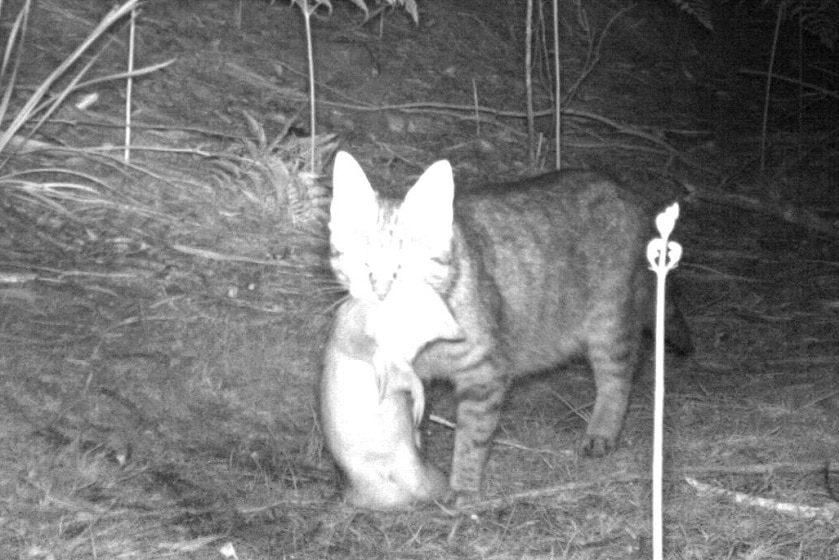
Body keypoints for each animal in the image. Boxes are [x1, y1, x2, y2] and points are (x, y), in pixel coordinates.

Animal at [324, 150, 692, 504]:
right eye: (361, 262)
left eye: (404, 266)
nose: (381, 291)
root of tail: (627, 192)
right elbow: (416, 424)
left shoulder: (484, 375)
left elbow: (471, 439)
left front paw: (463, 487)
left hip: (609, 325)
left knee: (619, 380)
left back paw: (601, 432)